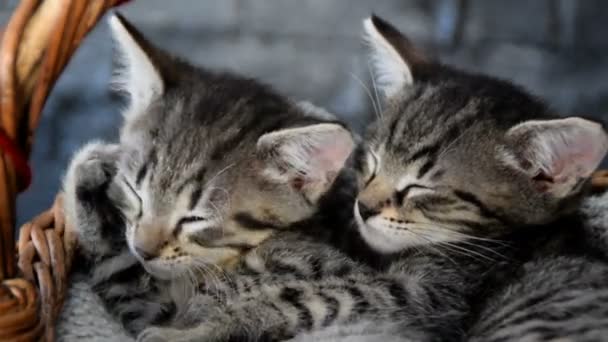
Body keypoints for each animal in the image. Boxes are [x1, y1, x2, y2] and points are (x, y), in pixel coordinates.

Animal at [131, 15, 608, 342]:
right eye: (373, 161)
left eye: (421, 187)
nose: (364, 205)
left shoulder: (424, 297)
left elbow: (304, 299)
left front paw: (191, 332)